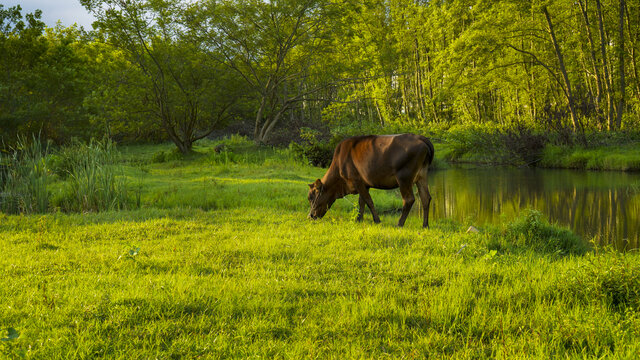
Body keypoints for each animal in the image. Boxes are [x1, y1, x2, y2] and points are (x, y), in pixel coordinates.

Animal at [306, 132, 436, 228]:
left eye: (311, 197)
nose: (310, 216)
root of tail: (420, 137)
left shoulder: (356, 180)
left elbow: (368, 201)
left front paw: (377, 220)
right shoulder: (365, 184)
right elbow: (362, 201)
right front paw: (359, 219)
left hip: (404, 177)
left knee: (409, 199)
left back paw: (399, 224)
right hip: (421, 176)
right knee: (425, 197)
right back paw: (425, 225)